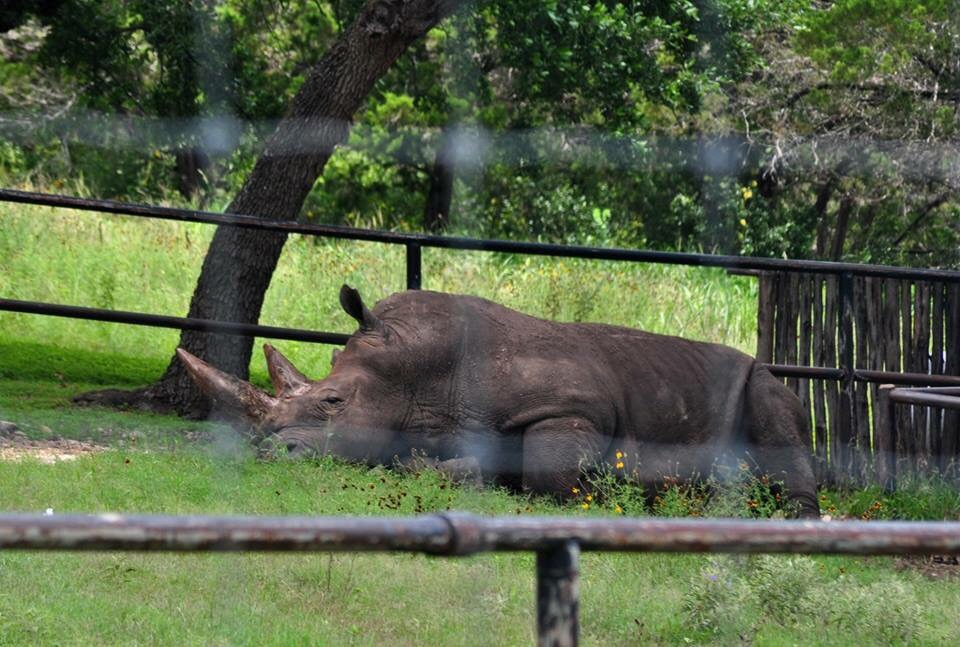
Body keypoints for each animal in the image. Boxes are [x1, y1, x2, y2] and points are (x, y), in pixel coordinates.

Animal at [177, 285, 820, 518]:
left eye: (333, 402)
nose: (266, 452)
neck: (420, 377)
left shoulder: (574, 409)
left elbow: (547, 472)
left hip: (761, 380)